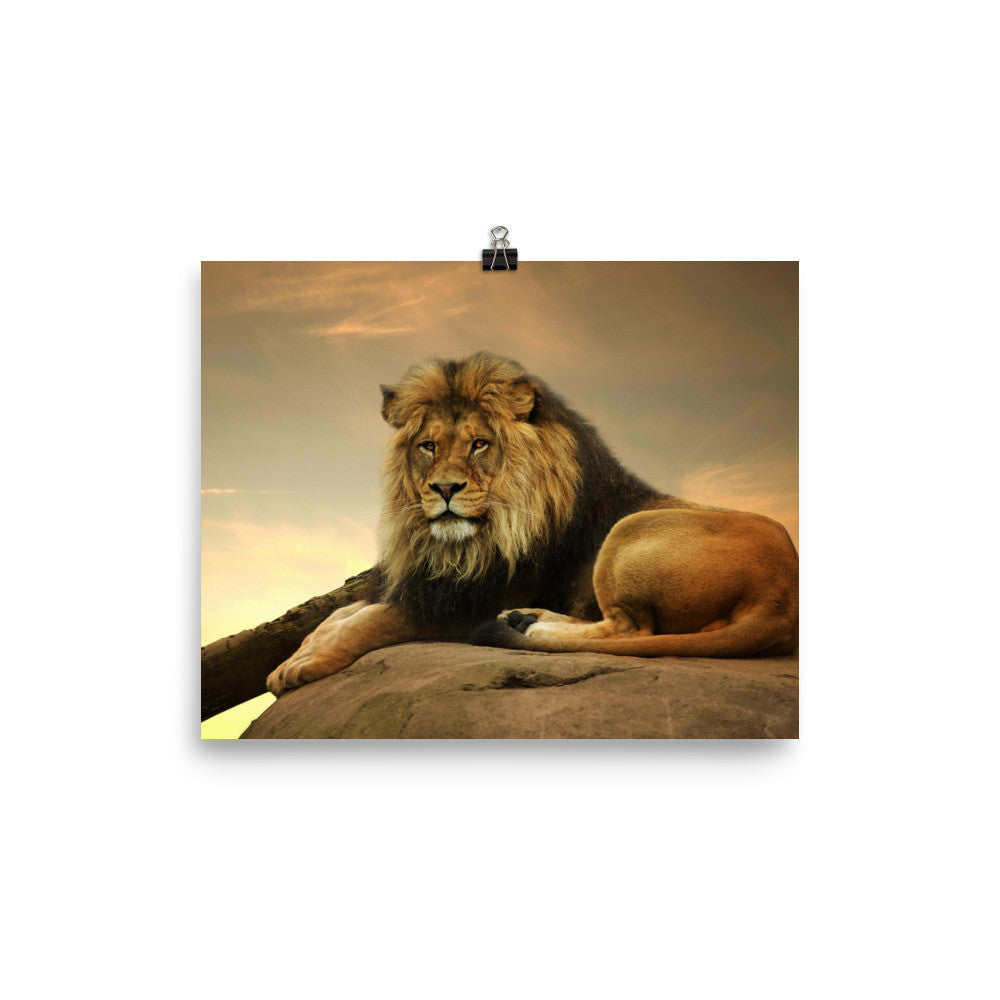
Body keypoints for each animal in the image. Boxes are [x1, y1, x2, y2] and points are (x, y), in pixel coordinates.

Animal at [265, 352, 798, 696]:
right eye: (428, 446)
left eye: (479, 444)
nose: (444, 489)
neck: (462, 545)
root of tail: (783, 595)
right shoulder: (428, 581)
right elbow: (342, 613)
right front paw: (298, 653)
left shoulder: (466, 601)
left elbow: (372, 620)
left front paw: (304, 664)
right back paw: (525, 621)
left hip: (628, 532)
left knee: (633, 632)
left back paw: (531, 628)